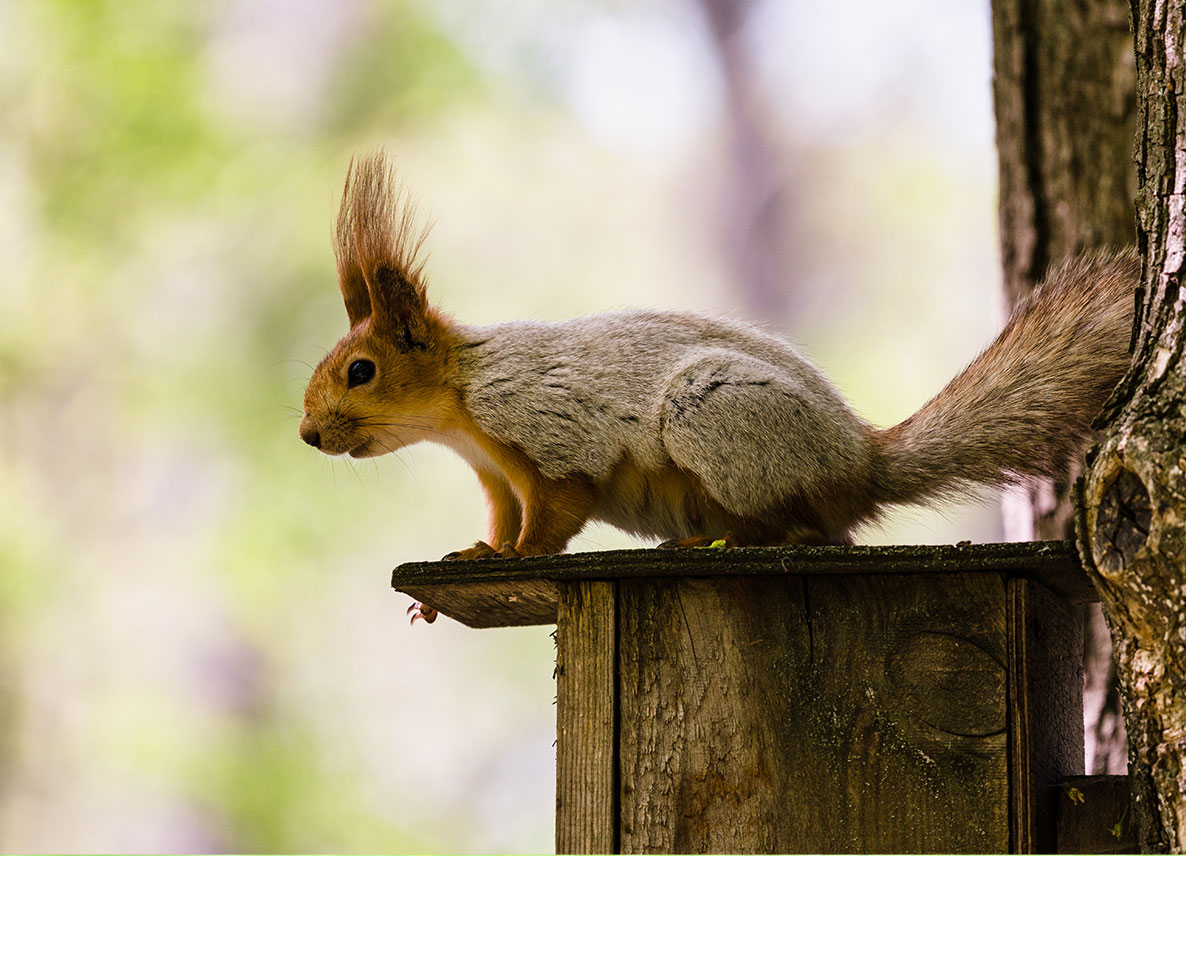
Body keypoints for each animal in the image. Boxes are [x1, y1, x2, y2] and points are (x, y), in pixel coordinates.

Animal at [298, 147, 1138, 562]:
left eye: (361, 372)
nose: (308, 435)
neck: (462, 404)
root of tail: (860, 465)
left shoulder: (545, 434)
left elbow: (556, 513)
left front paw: (516, 558)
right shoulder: (496, 474)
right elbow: (506, 517)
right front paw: (478, 554)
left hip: (714, 418)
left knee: (812, 531)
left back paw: (733, 536)